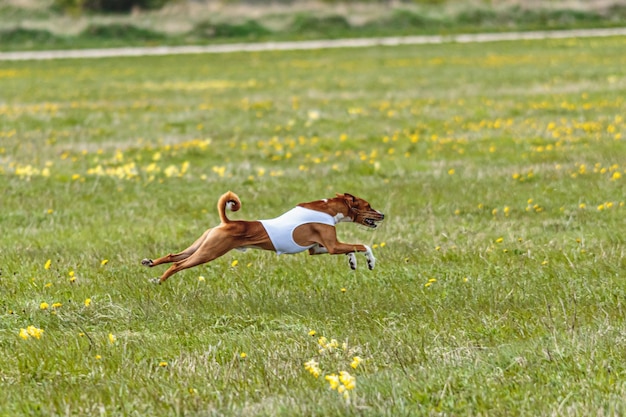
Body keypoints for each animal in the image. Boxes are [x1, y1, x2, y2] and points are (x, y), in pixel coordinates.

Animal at [143, 191, 386, 282]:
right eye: (368, 205)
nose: (383, 214)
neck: (327, 210)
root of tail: (227, 222)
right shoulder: (332, 245)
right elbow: (362, 245)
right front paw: (370, 262)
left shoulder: (317, 248)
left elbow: (350, 250)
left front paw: (353, 262)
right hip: (209, 252)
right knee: (178, 265)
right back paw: (160, 280)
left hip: (201, 245)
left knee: (172, 256)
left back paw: (150, 262)